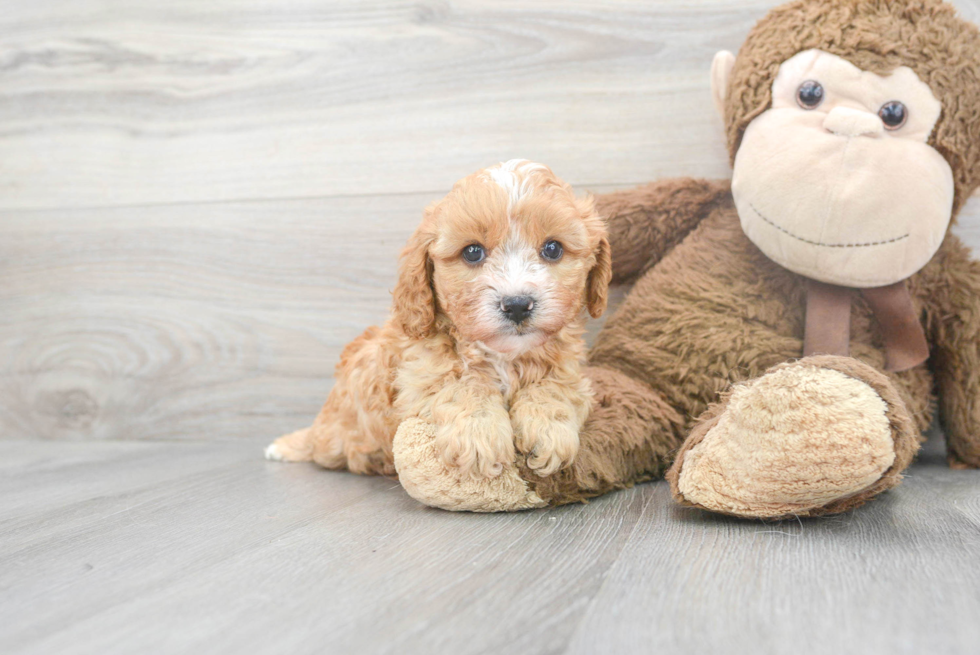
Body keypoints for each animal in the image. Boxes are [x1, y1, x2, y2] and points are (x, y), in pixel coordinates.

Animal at [264, 158, 608, 476]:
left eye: (553, 249)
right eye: (472, 252)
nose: (517, 305)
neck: (503, 355)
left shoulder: (571, 371)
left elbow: (555, 387)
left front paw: (549, 429)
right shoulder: (418, 372)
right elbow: (460, 385)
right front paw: (479, 436)